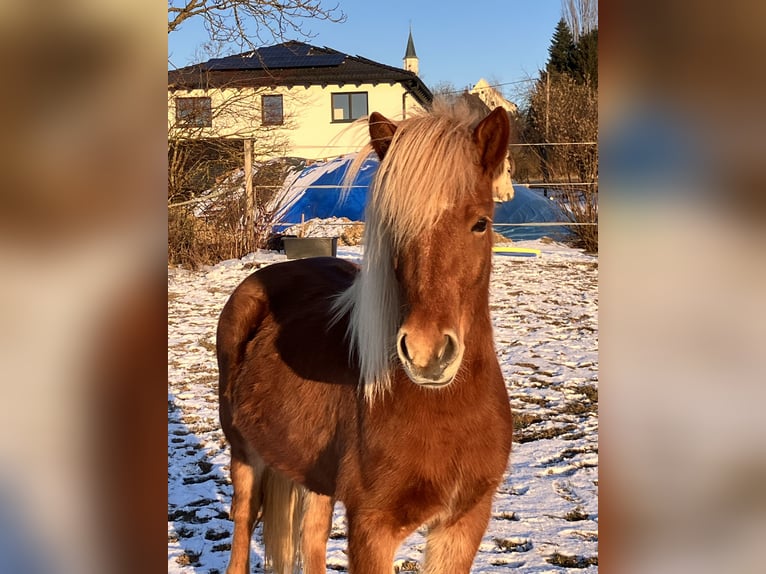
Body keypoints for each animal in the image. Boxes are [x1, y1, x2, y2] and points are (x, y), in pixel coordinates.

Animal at [216, 101, 514, 574]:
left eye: (480, 224)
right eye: (394, 228)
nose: (427, 353)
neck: (446, 408)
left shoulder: (464, 522)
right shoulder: (372, 527)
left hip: (314, 476)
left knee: (312, 537)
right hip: (244, 455)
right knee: (244, 526)